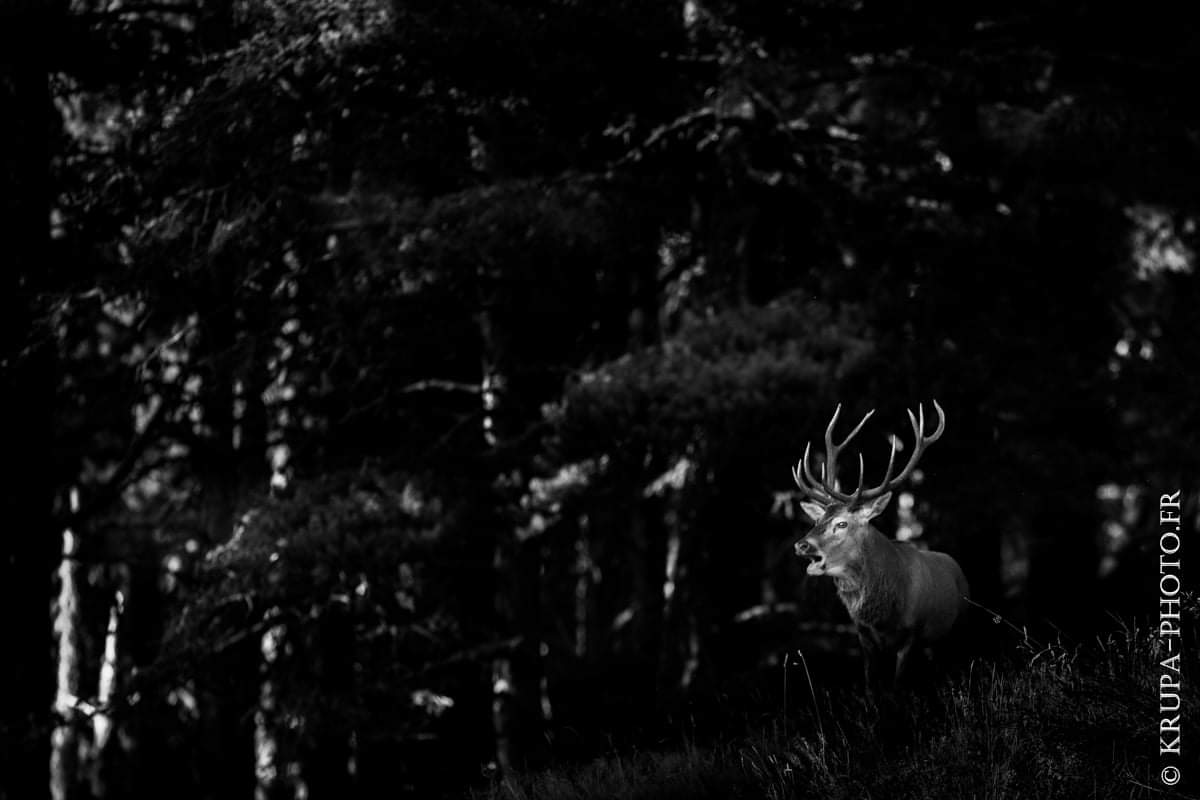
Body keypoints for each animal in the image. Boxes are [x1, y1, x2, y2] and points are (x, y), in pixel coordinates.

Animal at [791, 401, 968, 690]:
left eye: (842, 523)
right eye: (817, 519)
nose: (802, 545)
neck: (883, 613)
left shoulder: (912, 635)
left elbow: (898, 687)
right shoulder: (864, 638)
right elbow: (871, 688)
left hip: (959, 628)